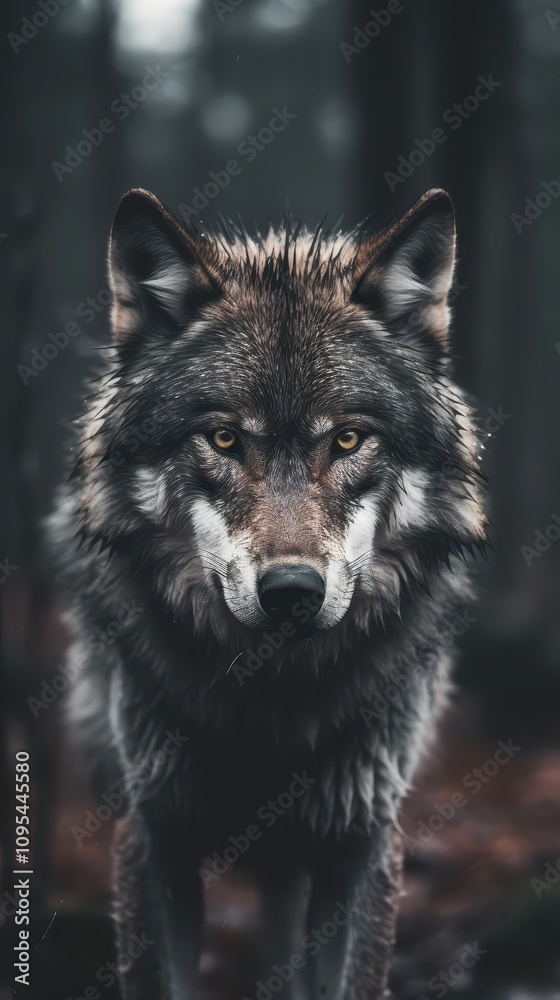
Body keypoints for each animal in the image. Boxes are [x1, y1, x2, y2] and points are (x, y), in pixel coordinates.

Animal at [54, 186, 487, 1000]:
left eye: (347, 440)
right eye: (224, 440)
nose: (291, 591)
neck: (271, 698)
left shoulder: (360, 843)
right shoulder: (153, 837)